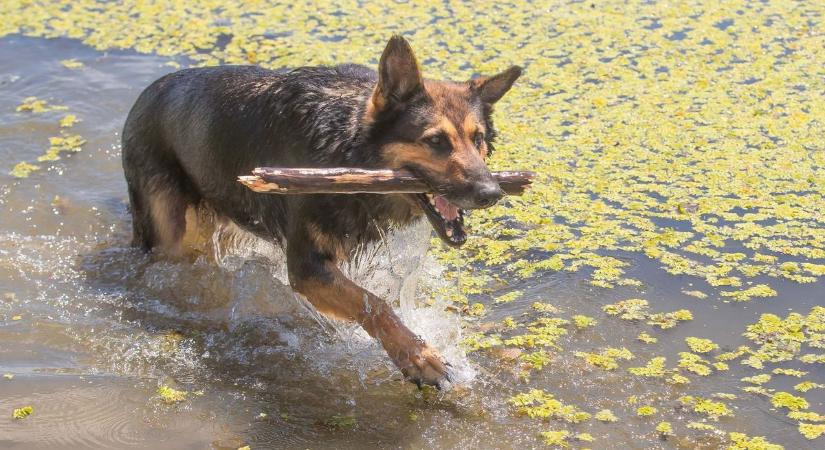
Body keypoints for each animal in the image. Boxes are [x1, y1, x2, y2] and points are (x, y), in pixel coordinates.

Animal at [120, 36, 520, 386]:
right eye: (436, 141)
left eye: (478, 139)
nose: (491, 193)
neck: (346, 146)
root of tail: (146, 93)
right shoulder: (307, 268)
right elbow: (373, 303)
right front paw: (418, 356)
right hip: (171, 234)